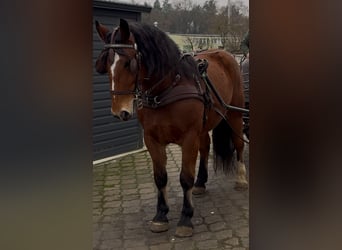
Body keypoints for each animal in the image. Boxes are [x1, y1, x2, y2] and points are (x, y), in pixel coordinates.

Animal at [95, 18, 247, 237]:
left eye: (129, 62)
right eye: (105, 63)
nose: (119, 112)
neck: (167, 88)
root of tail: (225, 53)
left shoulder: (189, 138)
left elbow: (185, 178)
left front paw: (186, 218)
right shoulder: (152, 139)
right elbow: (160, 177)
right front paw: (161, 215)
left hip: (235, 114)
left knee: (239, 143)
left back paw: (241, 179)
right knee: (205, 147)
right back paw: (201, 183)